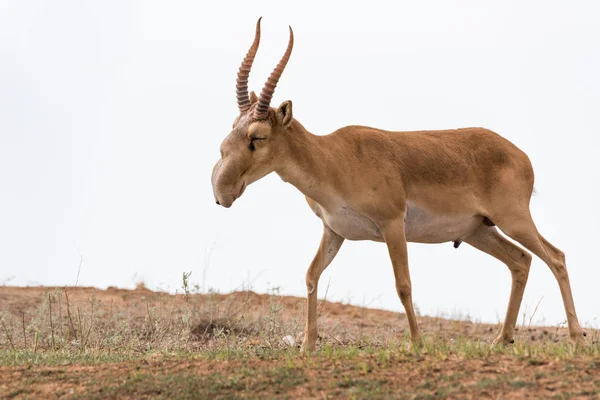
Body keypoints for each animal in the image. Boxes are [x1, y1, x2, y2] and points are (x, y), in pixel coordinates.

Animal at [209, 18, 584, 352]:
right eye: (233, 126)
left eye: (258, 136)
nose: (221, 193)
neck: (335, 158)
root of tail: (520, 156)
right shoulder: (334, 231)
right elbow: (312, 276)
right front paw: (307, 347)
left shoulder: (392, 224)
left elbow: (403, 284)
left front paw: (417, 344)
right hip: (478, 231)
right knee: (521, 261)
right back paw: (501, 340)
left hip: (513, 220)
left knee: (556, 257)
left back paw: (575, 338)